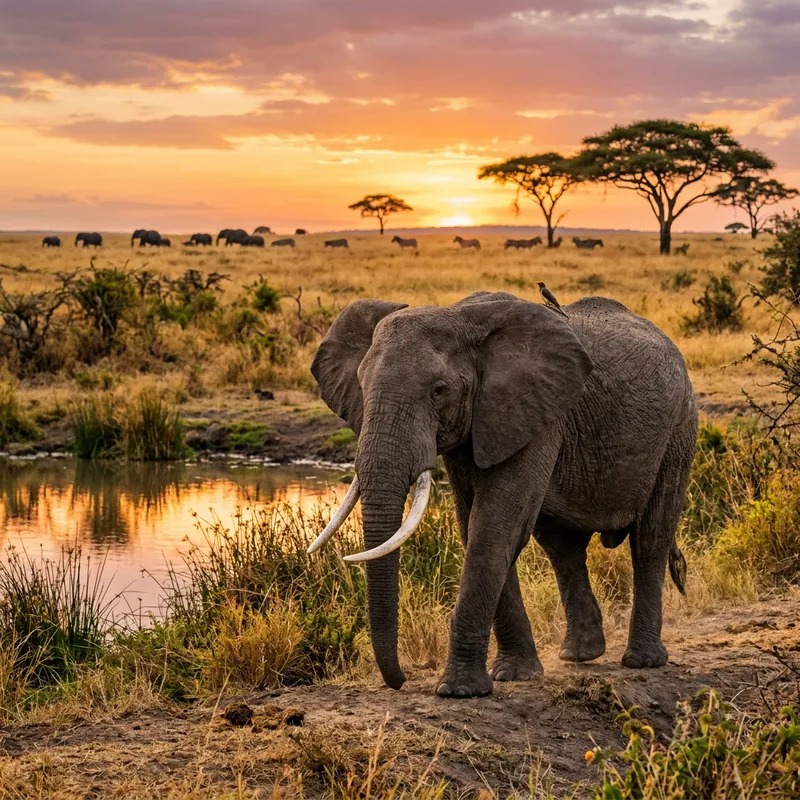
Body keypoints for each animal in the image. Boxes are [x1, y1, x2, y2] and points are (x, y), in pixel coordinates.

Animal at [309, 291, 697, 698]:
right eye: (361, 386)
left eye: (439, 391)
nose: (401, 681)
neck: (458, 316)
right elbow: (477, 527)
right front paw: (513, 674)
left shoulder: (537, 413)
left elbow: (493, 528)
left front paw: (459, 690)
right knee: (562, 547)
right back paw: (580, 654)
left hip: (679, 429)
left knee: (650, 539)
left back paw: (643, 660)